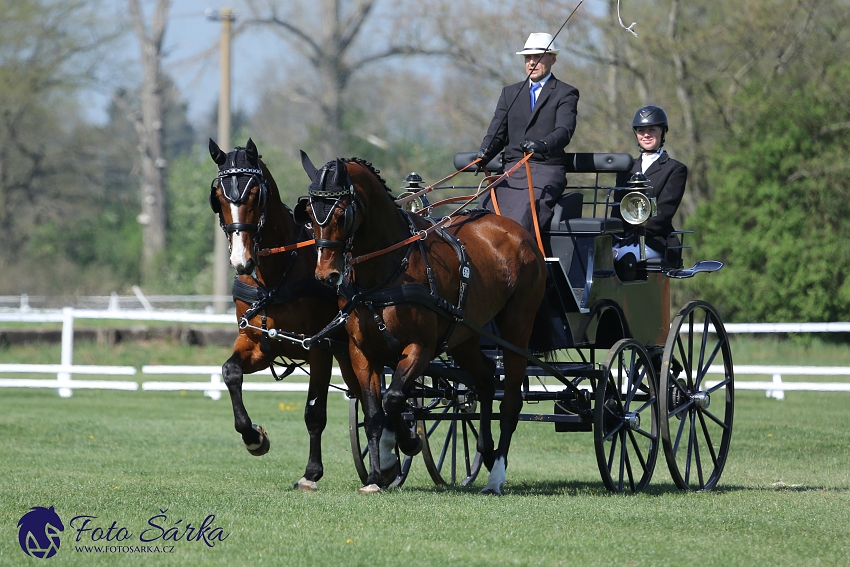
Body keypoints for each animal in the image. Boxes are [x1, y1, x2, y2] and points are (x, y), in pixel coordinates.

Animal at [211, 139, 362, 492]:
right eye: (219, 196)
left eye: (256, 194)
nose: (242, 261)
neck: (275, 275)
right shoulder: (260, 344)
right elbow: (230, 373)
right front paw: (254, 437)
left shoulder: (319, 348)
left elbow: (314, 413)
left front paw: (311, 473)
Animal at [294, 153, 544, 494]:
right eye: (308, 215)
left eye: (342, 214)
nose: (326, 275)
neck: (386, 270)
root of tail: (518, 232)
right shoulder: (362, 351)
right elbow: (375, 411)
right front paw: (378, 475)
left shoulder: (420, 348)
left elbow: (395, 398)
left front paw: (408, 443)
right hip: (465, 335)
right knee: (485, 380)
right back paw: (487, 451)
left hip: (517, 328)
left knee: (510, 402)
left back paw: (496, 475)